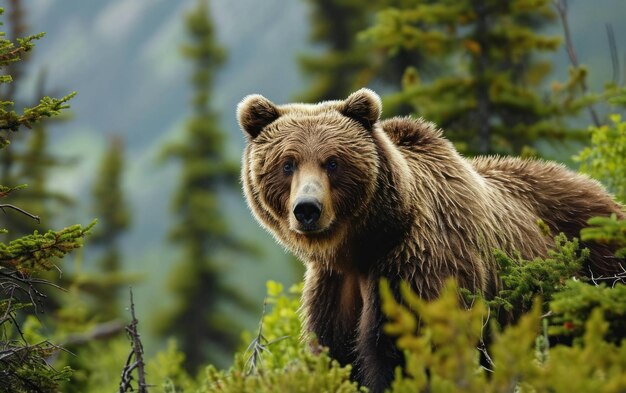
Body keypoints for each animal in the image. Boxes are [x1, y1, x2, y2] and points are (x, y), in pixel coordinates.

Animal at [236, 89, 620, 392]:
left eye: (332, 162)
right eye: (287, 164)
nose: (307, 209)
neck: (365, 244)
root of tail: (602, 191)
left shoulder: (417, 263)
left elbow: (410, 351)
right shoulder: (334, 286)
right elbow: (336, 354)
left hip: (593, 264)